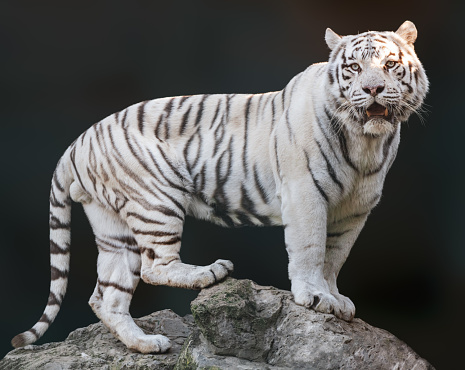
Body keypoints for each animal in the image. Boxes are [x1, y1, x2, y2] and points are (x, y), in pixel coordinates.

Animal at [11, 19, 428, 352]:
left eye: (390, 65)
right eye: (354, 68)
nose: (372, 89)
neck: (367, 141)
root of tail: (77, 142)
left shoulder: (355, 209)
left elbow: (334, 256)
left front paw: (334, 297)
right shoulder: (305, 194)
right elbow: (310, 249)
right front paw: (313, 296)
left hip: (113, 224)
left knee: (106, 296)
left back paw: (146, 344)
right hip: (156, 201)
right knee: (154, 267)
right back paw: (210, 272)